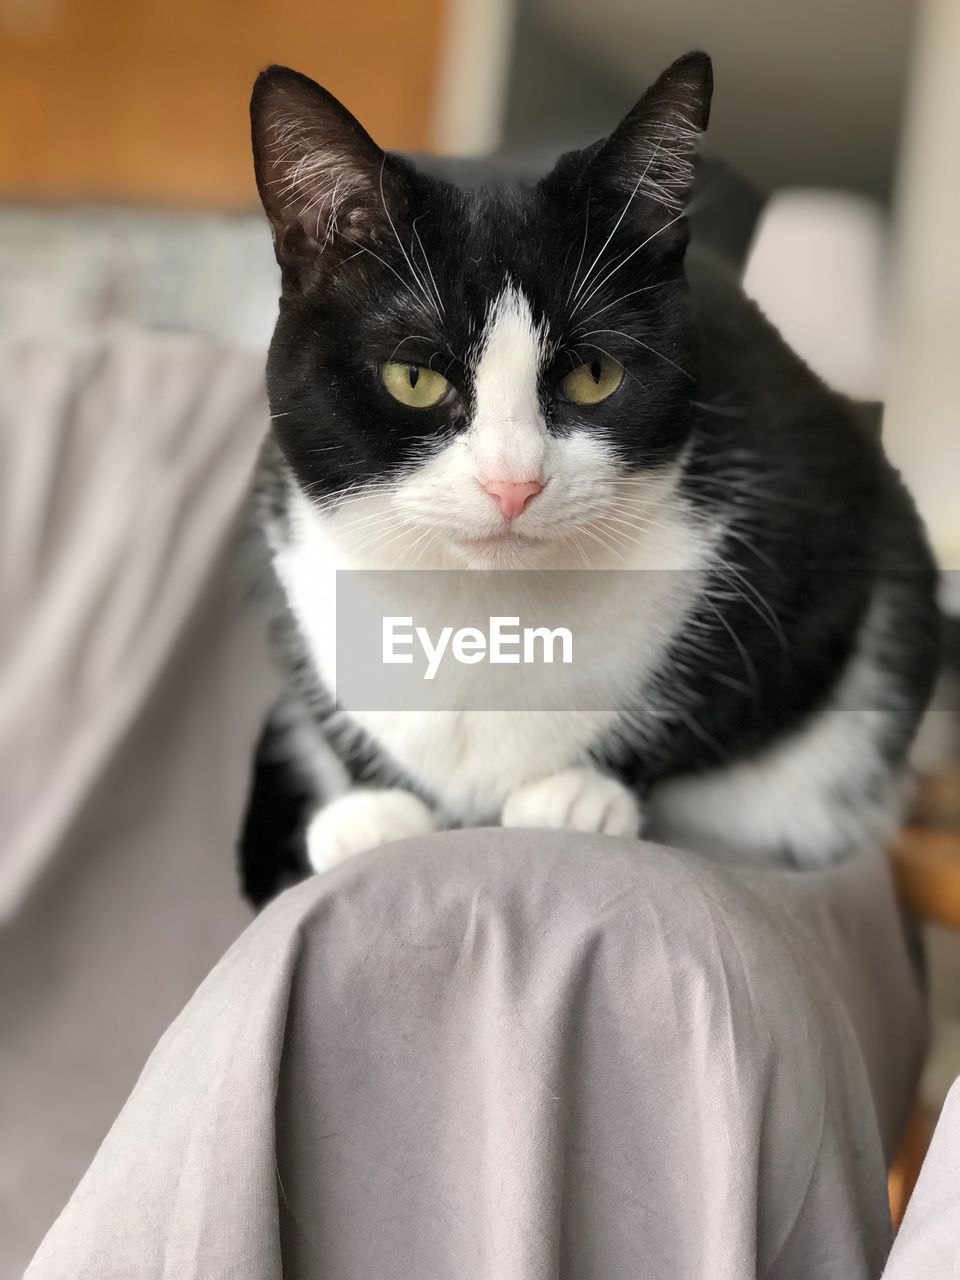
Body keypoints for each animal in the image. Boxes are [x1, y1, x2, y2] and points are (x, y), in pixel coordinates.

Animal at [239, 55, 942, 906]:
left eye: (594, 375)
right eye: (412, 378)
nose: (513, 484)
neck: (487, 615)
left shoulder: (824, 536)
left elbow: (731, 698)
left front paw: (579, 792)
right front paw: (375, 810)